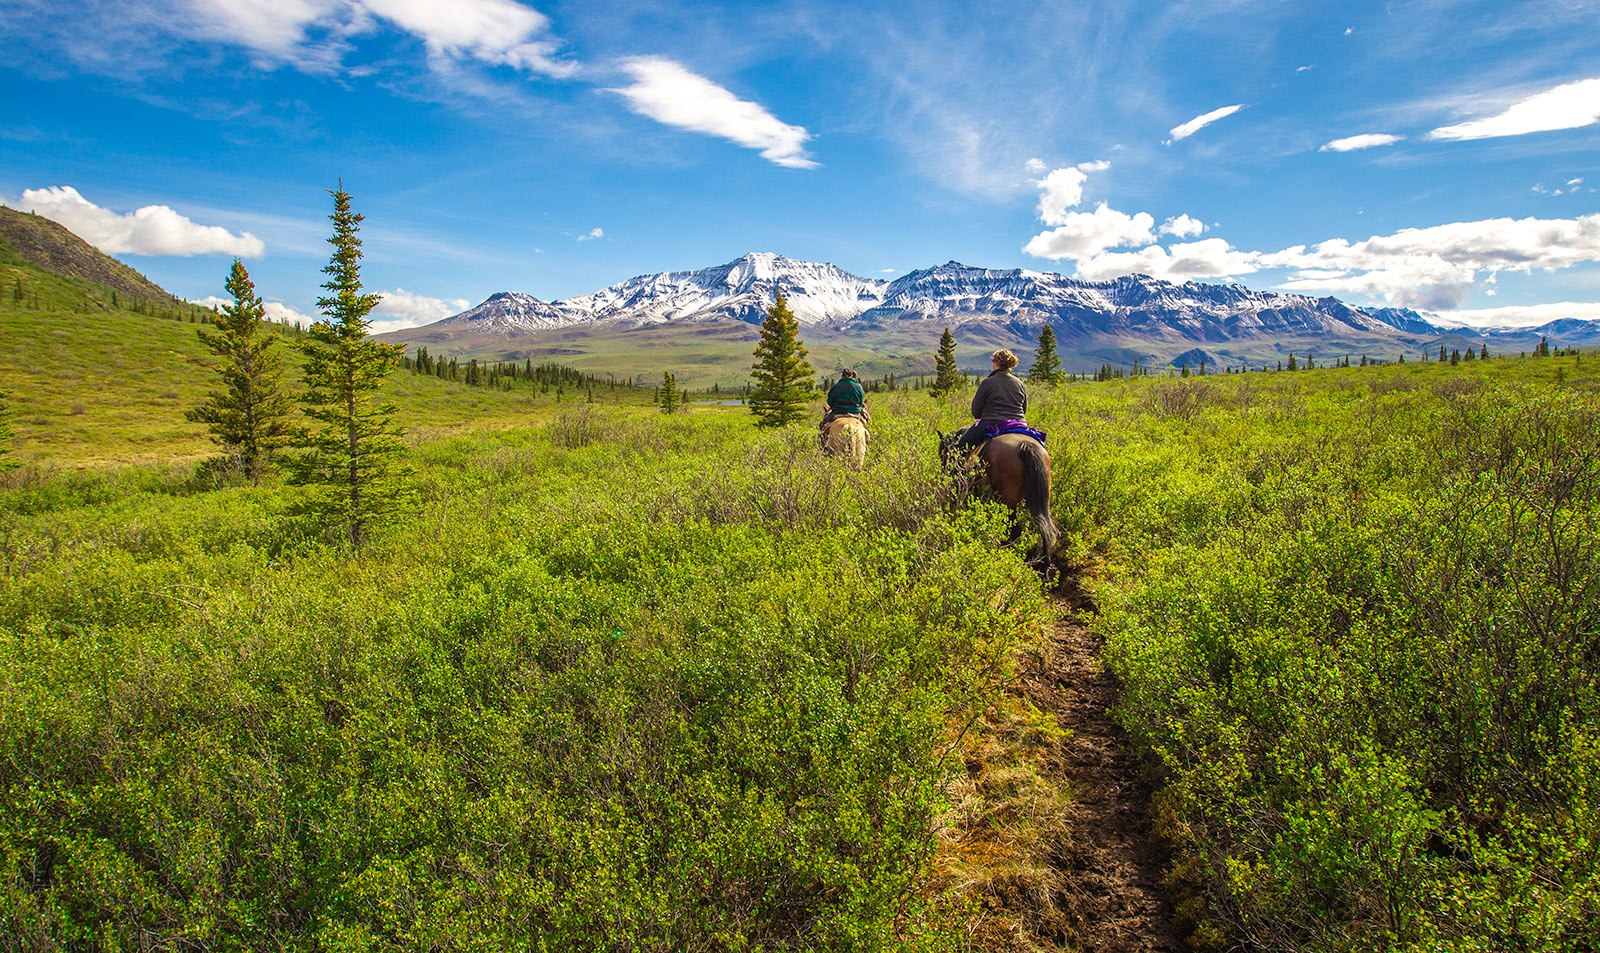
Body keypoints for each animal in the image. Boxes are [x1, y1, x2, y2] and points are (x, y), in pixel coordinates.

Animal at [940, 428, 1056, 566]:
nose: (943, 469)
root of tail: (1026, 446)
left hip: (1008, 501)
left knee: (1016, 529)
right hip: (1042, 500)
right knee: (1044, 528)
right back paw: (1044, 562)